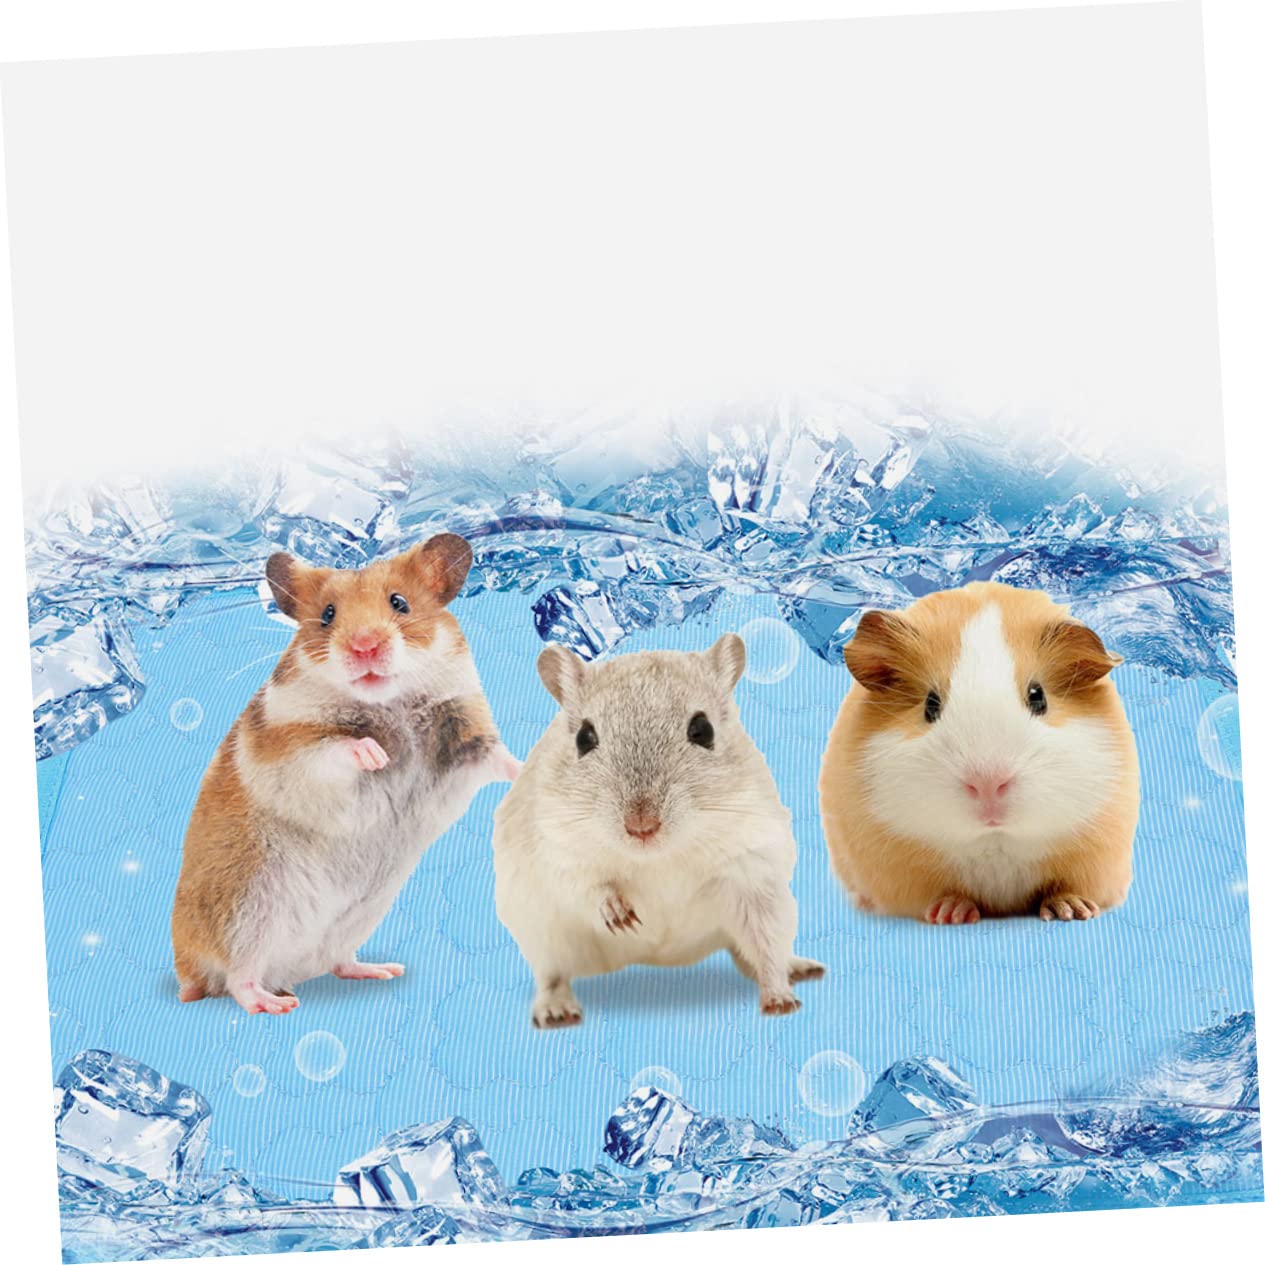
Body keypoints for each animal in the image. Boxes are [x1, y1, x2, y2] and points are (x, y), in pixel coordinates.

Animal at [171, 533, 520, 1014]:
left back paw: (382, 970)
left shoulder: (467, 735)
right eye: (328, 615)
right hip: (247, 911)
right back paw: (275, 1004)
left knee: (336, 962)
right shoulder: (290, 751)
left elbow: (500, 758)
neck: (389, 702)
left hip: (357, 917)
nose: (365, 646)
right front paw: (376, 755)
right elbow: (335, 748)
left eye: (400, 603)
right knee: (238, 978)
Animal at [492, 634, 824, 1028]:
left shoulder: (753, 869)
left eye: (703, 730)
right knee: (552, 975)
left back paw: (799, 969)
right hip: (540, 933)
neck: (658, 857)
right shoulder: (557, 850)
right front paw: (620, 915)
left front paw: (780, 1001)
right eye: (584, 738)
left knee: (753, 953)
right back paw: (556, 1011)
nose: (642, 827)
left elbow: (766, 946)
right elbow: (587, 887)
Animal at [819, 581, 1139, 925]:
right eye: (930, 705)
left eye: (1038, 697)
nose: (988, 784)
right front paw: (952, 914)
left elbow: (1065, 886)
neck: (995, 841)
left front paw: (1072, 911)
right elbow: (941, 894)